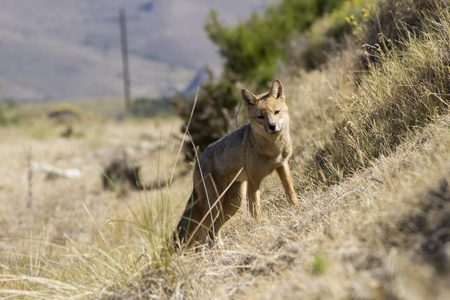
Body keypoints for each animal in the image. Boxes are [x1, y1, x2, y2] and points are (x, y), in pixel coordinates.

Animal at [172, 79, 298, 248]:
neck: (273, 149)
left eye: (276, 112)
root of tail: (198, 161)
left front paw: (297, 210)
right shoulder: (253, 181)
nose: (272, 126)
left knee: (213, 229)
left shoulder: (282, 165)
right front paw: (260, 228)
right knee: (202, 233)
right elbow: (255, 211)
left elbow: (291, 193)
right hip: (214, 205)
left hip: (233, 203)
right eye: (261, 117)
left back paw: (220, 248)